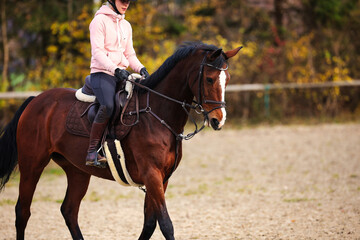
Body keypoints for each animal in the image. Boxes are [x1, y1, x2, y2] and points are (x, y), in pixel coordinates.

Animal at [0, 42, 242, 239]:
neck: (156, 113)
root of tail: (35, 100)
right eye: (209, 79)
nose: (218, 120)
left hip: (77, 171)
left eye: (227, 80)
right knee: (22, 211)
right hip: (32, 165)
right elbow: (166, 225)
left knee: (69, 211)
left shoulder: (161, 178)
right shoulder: (152, 175)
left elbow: (150, 223)